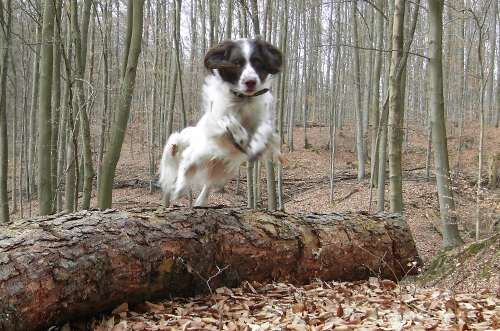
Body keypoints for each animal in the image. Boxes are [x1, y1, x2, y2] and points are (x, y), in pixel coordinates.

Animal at [159, 39, 282, 208]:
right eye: (237, 63)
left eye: (257, 61)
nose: (250, 82)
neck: (243, 101)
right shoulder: (216, 123)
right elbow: (228, 125)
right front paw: (239, 134)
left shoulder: (262, 120)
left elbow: (265, 131)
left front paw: (256, 144)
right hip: (197, 155)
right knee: (185, 166)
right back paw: (178, 190)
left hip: (221, 171)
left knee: (206, 186)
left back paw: (199, 202)